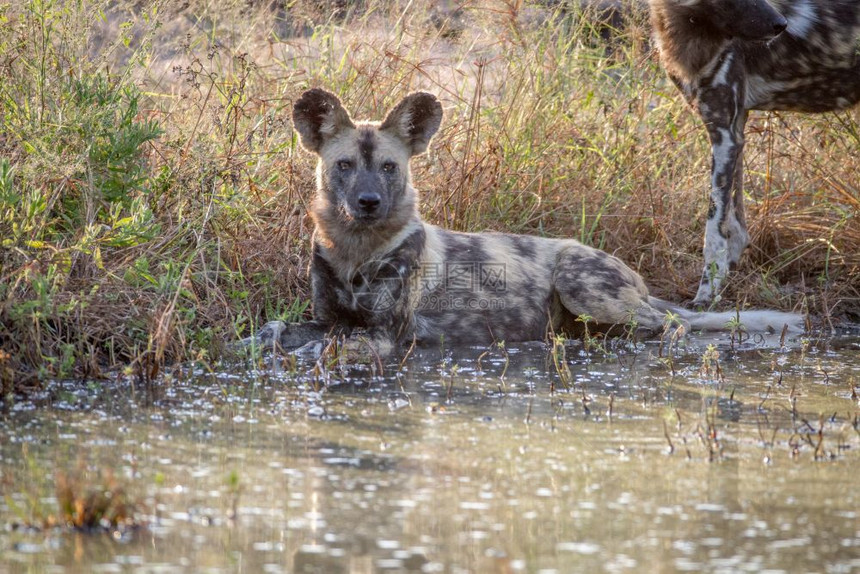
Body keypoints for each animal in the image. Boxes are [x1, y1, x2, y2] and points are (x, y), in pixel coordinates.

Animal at [249, 88, 808, 362]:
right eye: (344, 165)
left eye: (388, 167)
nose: (368, 202)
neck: (356, 248)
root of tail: (638, 281)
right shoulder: (327, 316)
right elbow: (278, 328)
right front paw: (261, 342)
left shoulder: (386, 335)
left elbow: (333, 345)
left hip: (585, 286)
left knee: (672, 325)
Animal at [652, 0, 860, 308]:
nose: (781, 24)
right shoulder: (735, 130)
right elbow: (736, 226)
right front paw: (723, 280)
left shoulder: (724, 134)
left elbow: (713, 233)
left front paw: (705, 295)